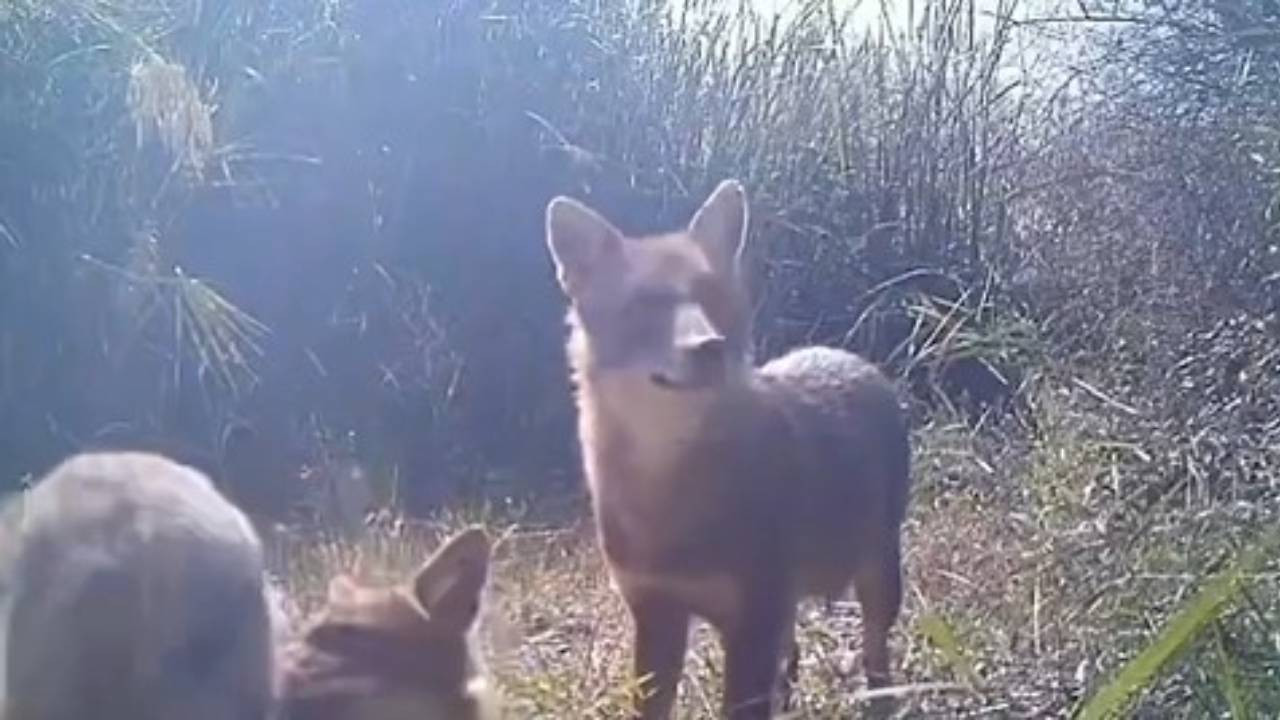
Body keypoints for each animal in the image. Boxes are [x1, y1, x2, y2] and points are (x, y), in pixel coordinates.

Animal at [540, 180, 911, 717]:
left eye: (710, 296)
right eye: (644, 305)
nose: (709, 345)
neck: (669, 507)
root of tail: (847, 356)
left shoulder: (752, 620)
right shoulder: (657, 613)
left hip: (878, 578)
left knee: (875, 659)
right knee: (793, 658)